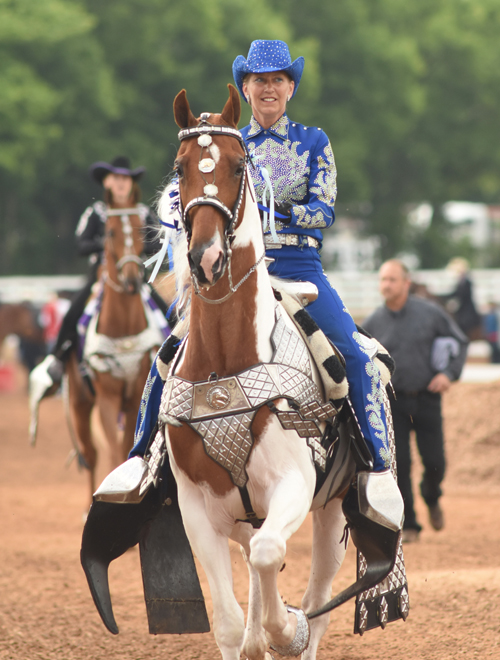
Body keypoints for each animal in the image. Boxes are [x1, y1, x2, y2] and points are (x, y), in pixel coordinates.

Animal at [81, 87, 406, 660]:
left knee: (313, 594)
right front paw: (257, 632)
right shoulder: (198, 510)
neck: (228, 360)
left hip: (331, 515)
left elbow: (272, 560)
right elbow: (232, 625)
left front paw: (286, 628)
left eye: (238, 166)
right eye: (181, 168)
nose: (206, 256)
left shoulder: (294, 484)